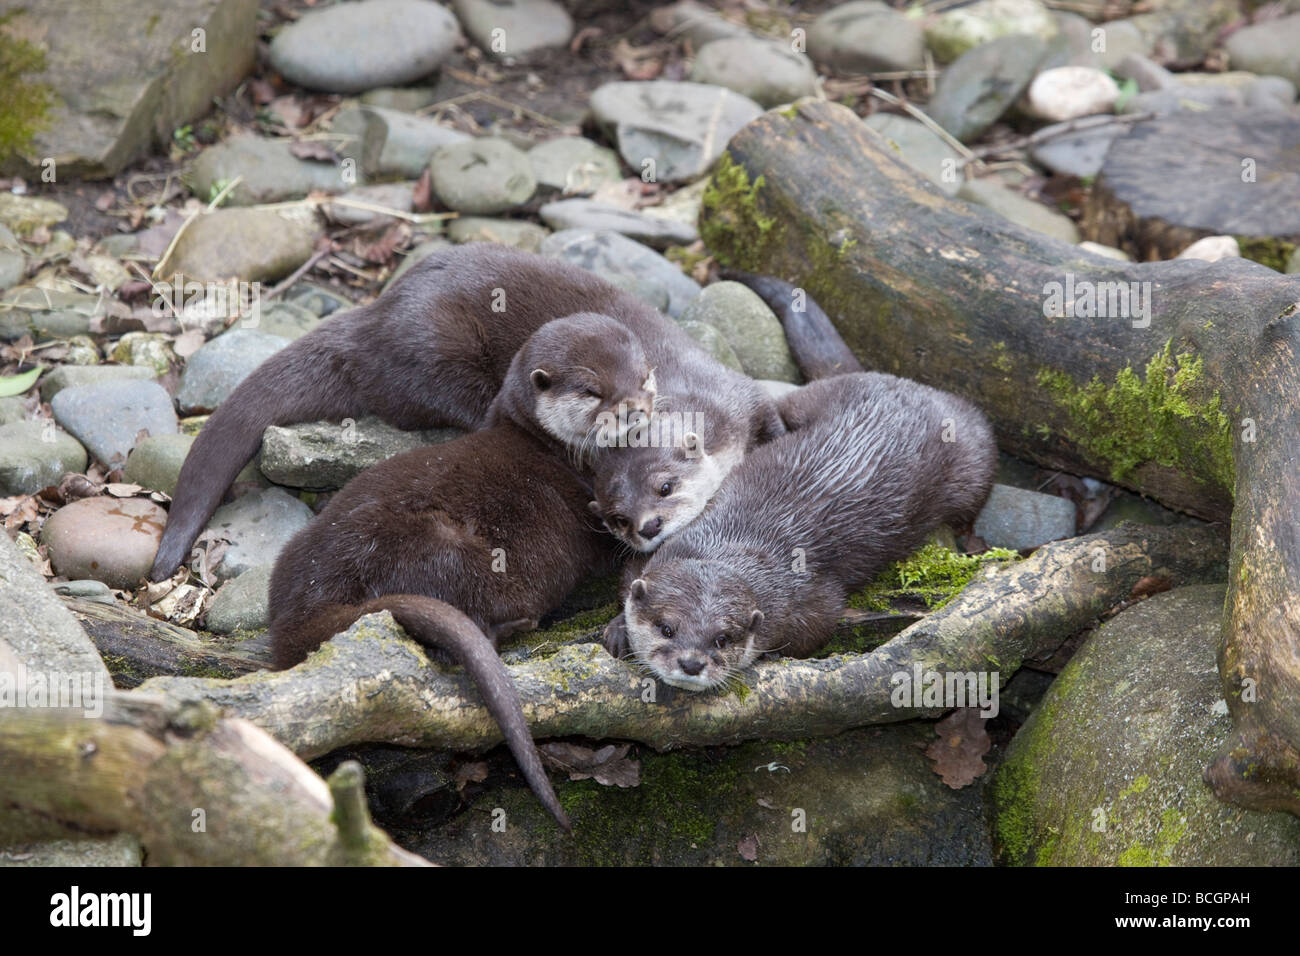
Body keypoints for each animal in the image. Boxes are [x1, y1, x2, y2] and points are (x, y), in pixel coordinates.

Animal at [152, 243, 780, 580]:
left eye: (644, 377)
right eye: (592, 392)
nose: (633, 407)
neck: (700, 398)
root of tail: (375, 316)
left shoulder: (736, 392)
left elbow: (768, 414)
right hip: (434, 350)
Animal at [605, 369, 993, 691]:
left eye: (722, 639)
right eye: (666, 628)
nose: (690, 663)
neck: (732, 543)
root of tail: (919, 388)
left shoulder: (812, 597)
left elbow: (818, 626)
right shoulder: (656, 550)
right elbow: (628, 581)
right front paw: (619, 629)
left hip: (972, 458)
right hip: (810, 397)